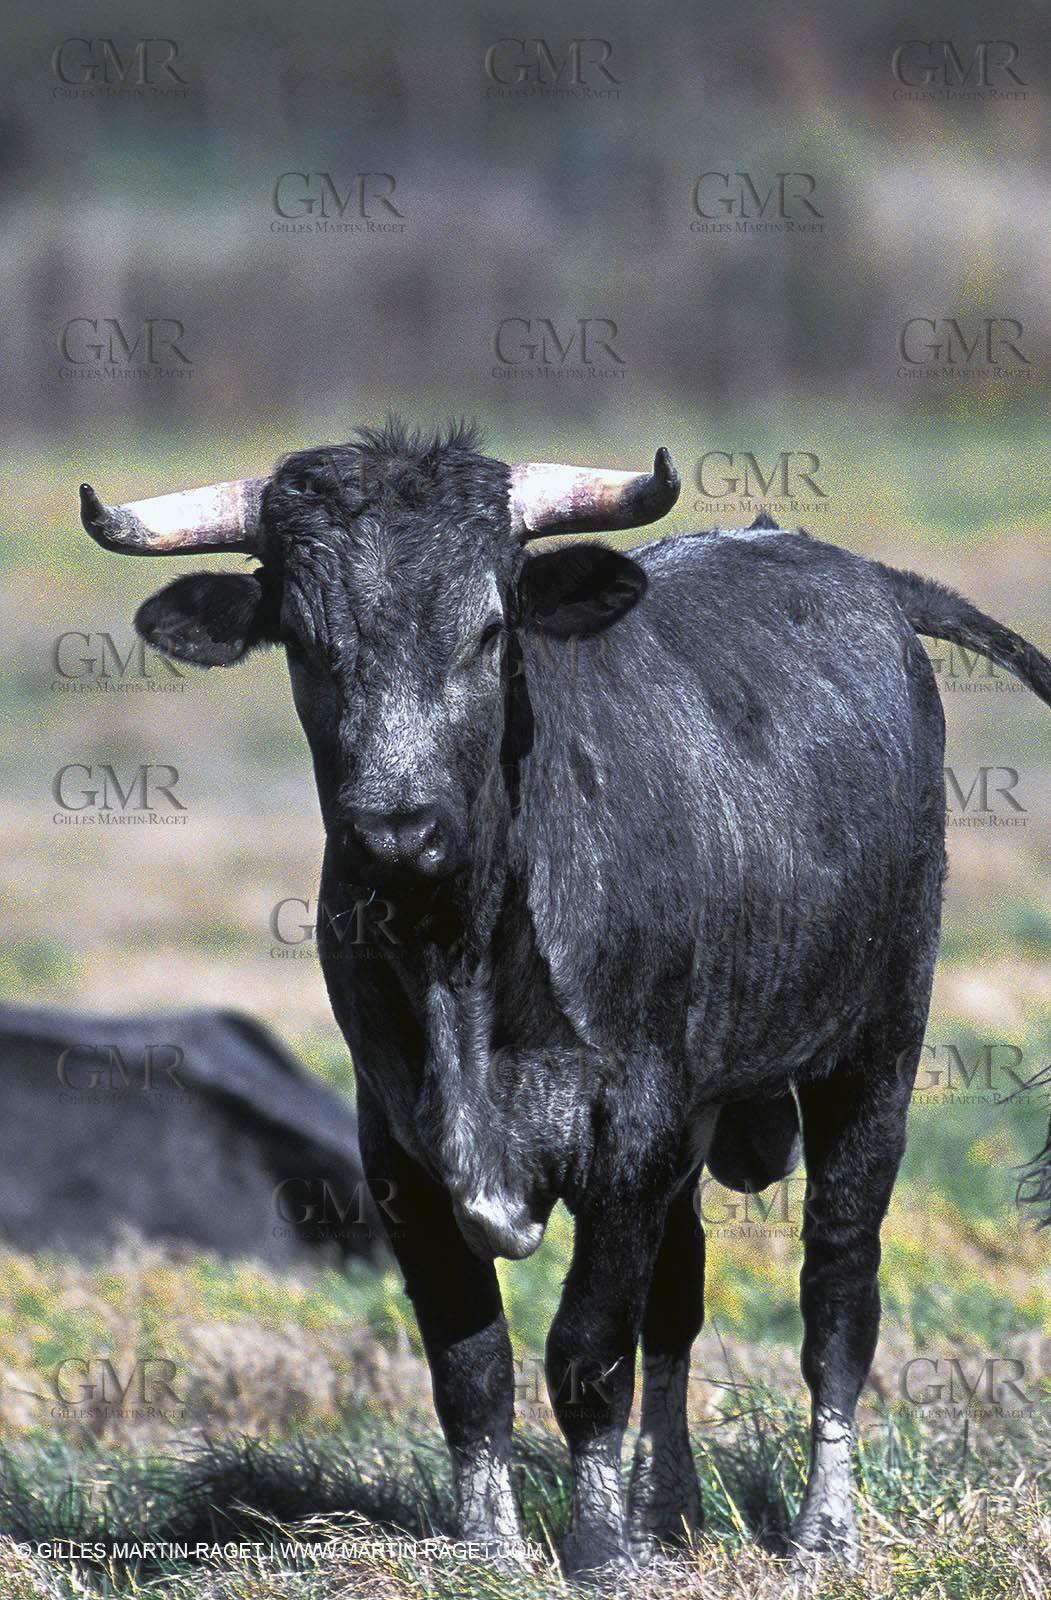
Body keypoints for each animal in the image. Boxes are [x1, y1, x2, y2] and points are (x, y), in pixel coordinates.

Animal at [78, 419, 1051, 1575]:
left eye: (491, 630)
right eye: (307, 644)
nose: (397, 829)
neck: (459, 951)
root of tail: (845, 569)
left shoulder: (627, 1132)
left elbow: (586, 1351)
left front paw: (595, 1548)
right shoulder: (400, 1146)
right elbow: (473, 1365)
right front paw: (493, 1549)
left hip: (875, 1052)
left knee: (837, 1295)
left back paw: (823, 1532)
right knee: (678, 1299)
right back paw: (668, 1511)